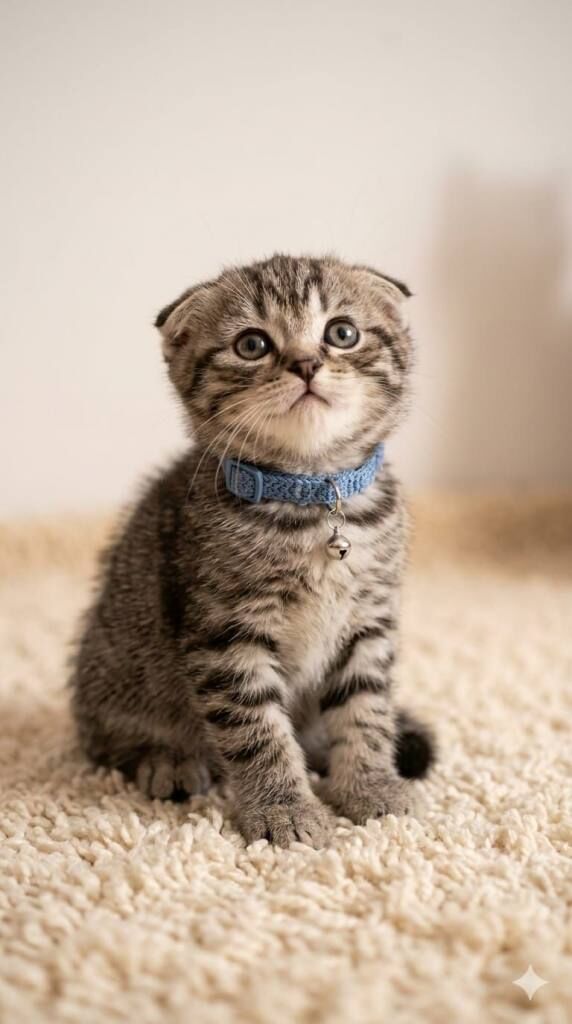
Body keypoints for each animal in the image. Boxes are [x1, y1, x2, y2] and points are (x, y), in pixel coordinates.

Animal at [70, 254, 435, 847]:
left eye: (342, 333)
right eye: (252, 344)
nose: (306, 364)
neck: (313, 499)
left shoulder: (370, 620)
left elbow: (365, 710)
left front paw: (370, 786)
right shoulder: (226, 634)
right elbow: (257, 730)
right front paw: (284, 809)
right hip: (115, 669)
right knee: (109, 741)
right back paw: (167, 759)